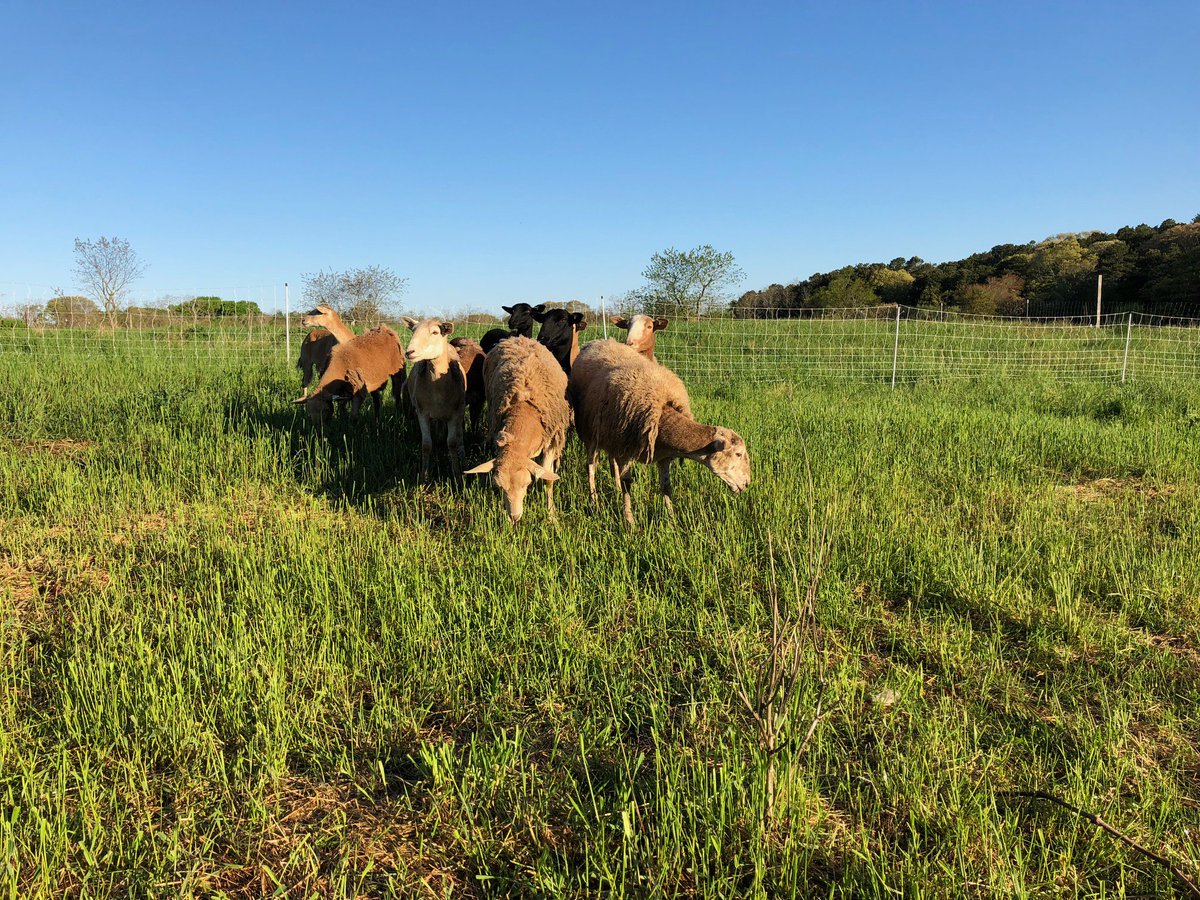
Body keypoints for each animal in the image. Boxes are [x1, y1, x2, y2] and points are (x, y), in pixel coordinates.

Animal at [401, 317, 467, 479]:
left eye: (435, 332)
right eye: (413, 330)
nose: (409, 352)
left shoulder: (454, 414)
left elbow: (452, 443)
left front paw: (457, 474)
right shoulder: (422, 413)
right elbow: (426, 445)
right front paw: (424, 476)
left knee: (459, 437)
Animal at [464, 337, 570, 522]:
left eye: (526, 484)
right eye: (498, 486)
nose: (514, 517)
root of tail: (517, 337)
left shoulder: (551, 438)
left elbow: (547, 479)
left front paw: (551, 515)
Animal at [567, 339, 751, 525]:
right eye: (738, 454)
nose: (747, 484)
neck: (662, 416)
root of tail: (597, 341)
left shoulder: (662, 456)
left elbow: (666, 486)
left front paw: (672, 519)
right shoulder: (626, 451)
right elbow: (628, 484)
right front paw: (629, 521)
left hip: (611, 436)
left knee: (611, 461)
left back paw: (615, 488)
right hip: (590, 433)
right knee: (591, 466)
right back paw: (594, 500)